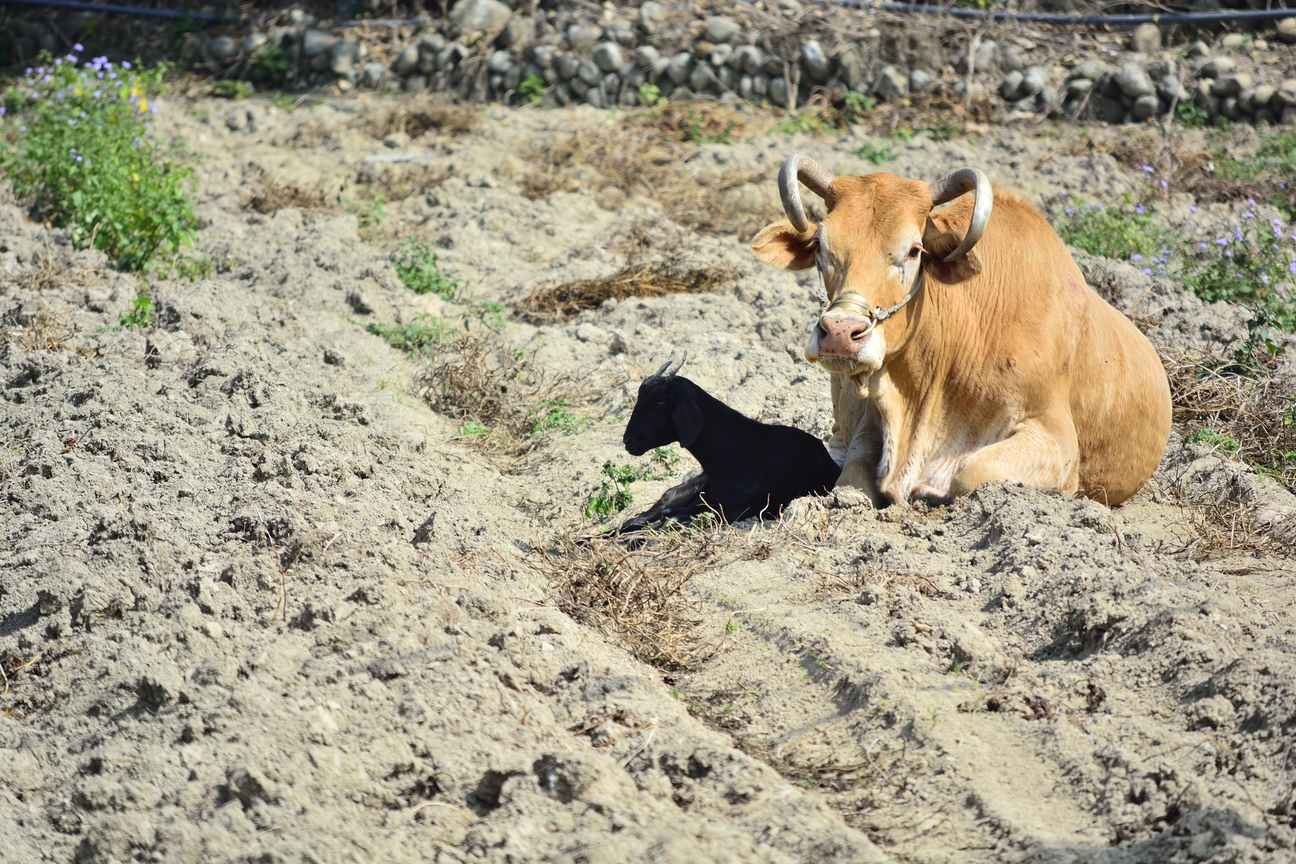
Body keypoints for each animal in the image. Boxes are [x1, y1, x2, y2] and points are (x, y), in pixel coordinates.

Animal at [756, 155, 1171, 507]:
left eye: (914, 250)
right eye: (821, 247)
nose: (841, 332)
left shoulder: (1056, 441)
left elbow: (969, 473)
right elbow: (851, 479)